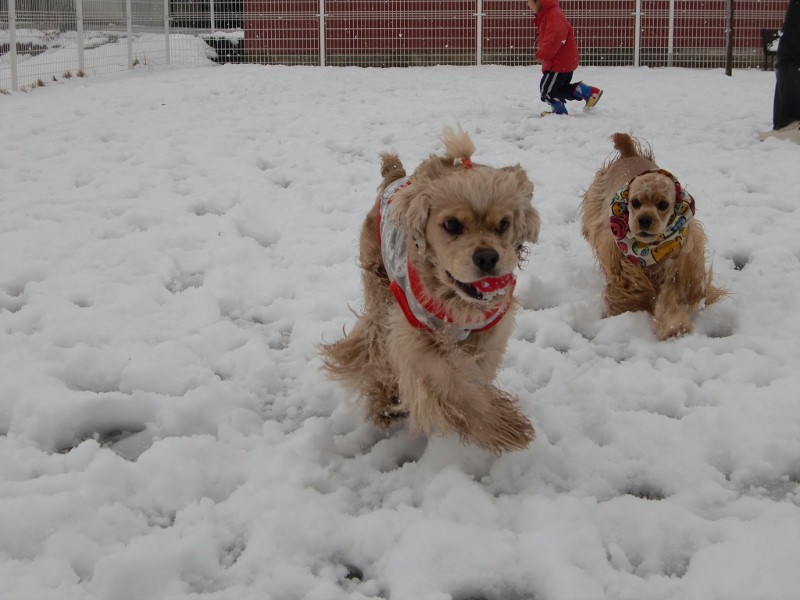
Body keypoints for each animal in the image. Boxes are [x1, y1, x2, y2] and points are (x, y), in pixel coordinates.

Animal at [321, 126, 540, 454]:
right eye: (451, 225)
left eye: (503, 224)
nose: (488, 257)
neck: (456, 299)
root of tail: (395, 177)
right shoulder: (415, 334)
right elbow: (451, 381)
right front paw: (505, 427)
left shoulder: (489, 331)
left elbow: (474, 372)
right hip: (380, 291)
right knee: (373, 345)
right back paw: (386, 402)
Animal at [581, 133, 725, 339]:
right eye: (635, 202)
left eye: (663, 204)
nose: (644, 219)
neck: (651, 248)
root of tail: (629, 153)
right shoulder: (618, 253)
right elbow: (632, 285)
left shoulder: (683, 259)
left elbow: (675, 294)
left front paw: (674, 326)